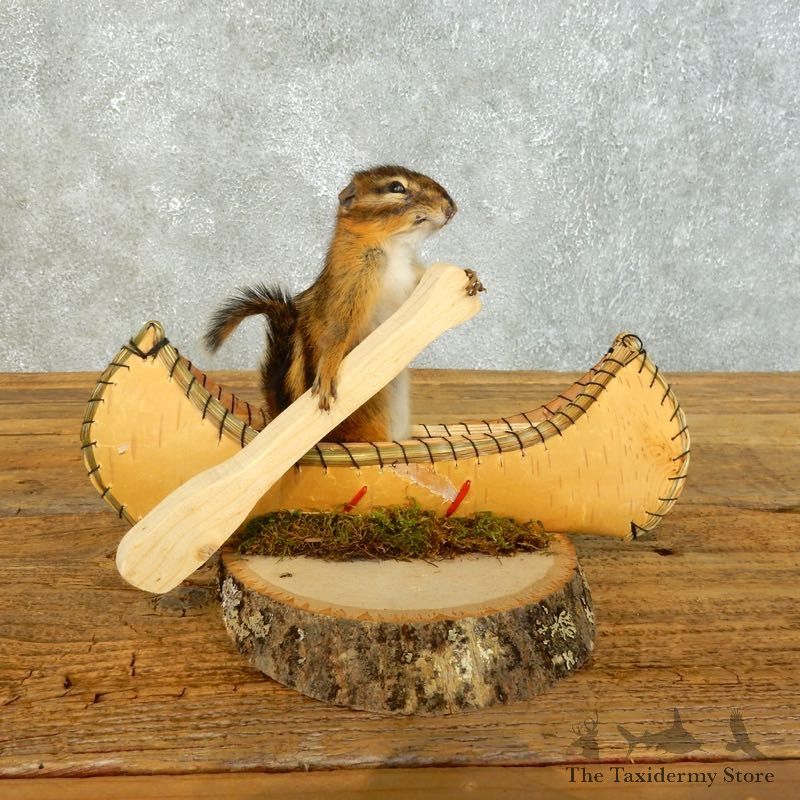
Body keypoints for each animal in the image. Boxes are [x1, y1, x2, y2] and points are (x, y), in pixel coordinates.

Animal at [204, 165, 482, 443]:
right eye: (396, 187)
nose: (451, 207)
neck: (394, 248)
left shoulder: (413, 279)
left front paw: (471, 276)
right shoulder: (351, 286)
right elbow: (338, 332)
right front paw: (328, 372)